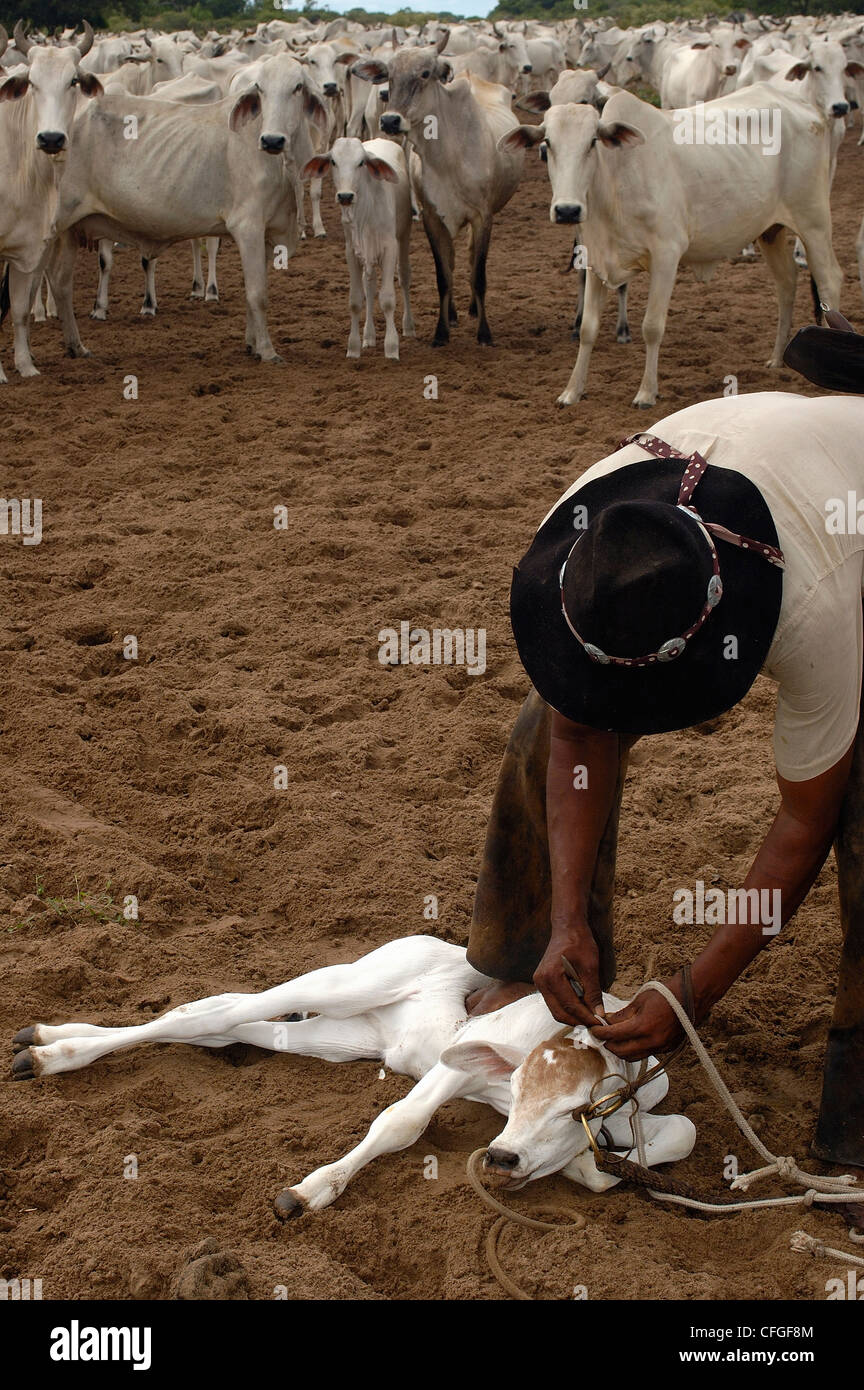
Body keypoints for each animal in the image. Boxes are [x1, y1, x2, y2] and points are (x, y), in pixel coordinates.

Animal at [10, 934, 697, 1217]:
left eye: (573, 1109)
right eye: (522, 1088)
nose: (503, 1158)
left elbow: (677, 1133)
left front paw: (590, 1163)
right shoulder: (459, 1059)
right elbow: (402, 1122)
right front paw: (309, 1191)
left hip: (342, 1036)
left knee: (216, 1023)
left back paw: (45, 1039)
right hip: (345, 984)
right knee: (217, 1010)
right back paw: (47, 1052)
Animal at [301, 137, 416, 358]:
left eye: (361, 162)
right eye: (334, 161)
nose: (345, 196)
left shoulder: (390, 248)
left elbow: (388, 299)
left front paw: (391, 348)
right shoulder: (352, 253)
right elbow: (355, 300)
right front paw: (353, 347)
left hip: (404, 234)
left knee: (404, 277)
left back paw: (408, 326)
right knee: (369, 287)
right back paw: (369, 337)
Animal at [350, 29, 525, 347]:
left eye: (425, 73)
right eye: (389, 76)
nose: (390, 120)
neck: (447, 156)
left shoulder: (483, 217)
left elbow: (479, 274)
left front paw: (484, 332)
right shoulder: (432, 217)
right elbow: (443, 274)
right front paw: (441, 331)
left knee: (470, 258)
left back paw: (472, 309)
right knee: (455, 262)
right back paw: (454, 313)